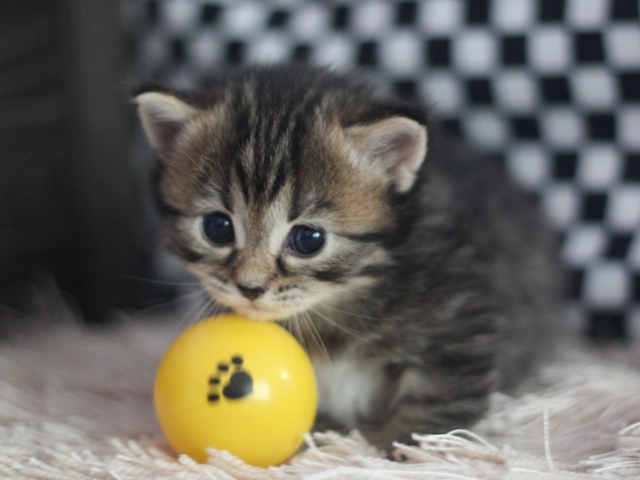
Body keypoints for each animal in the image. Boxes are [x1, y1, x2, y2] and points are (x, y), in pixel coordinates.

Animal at [134, 64, 560, 450]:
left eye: (308, 239)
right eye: (217, 228)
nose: (250, 288)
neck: (341, 299)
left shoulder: (460, 318)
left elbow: (438, 392)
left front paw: (405, 444)